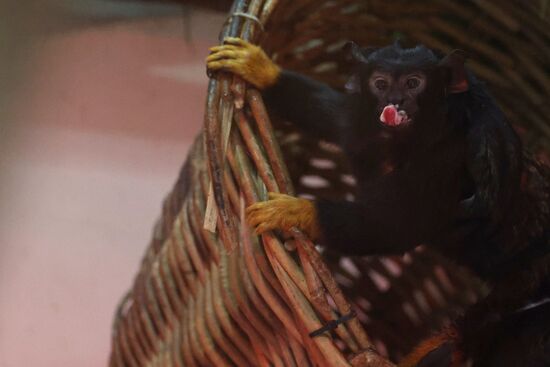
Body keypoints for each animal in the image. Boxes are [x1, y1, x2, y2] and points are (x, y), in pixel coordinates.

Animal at [206, 36, 550, 366]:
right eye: (381, 83)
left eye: (413, 83)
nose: (394, 103)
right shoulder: (365, 124)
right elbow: (335, 118)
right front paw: (261, 69)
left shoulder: (450, 159)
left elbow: (393, 227)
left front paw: (294, 211)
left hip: (530, 272)